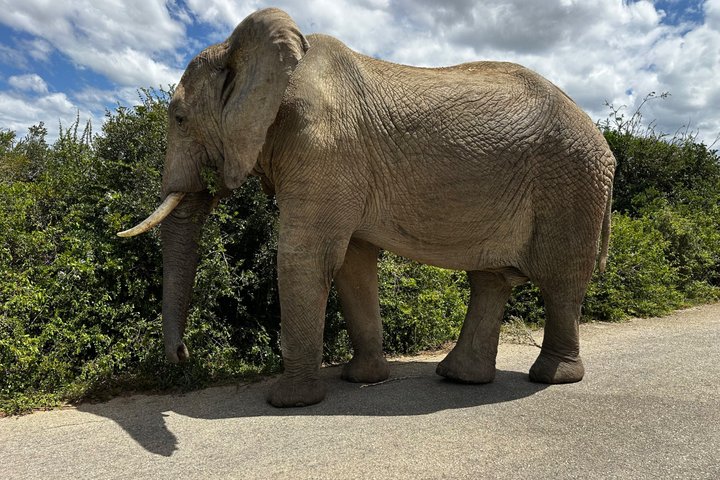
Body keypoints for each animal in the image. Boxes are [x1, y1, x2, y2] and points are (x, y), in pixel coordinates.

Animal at [118, 8, 615, 407]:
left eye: (179, 118)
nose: (181, 355)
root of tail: (604, 143)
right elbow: (352, 263)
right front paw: (361, 379)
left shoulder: (323, 147)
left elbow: (306, 257)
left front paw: (288, 402)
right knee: (491, 280)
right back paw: (459, 378)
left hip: (571, 181)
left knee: (561, 278)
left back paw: (552, 377)